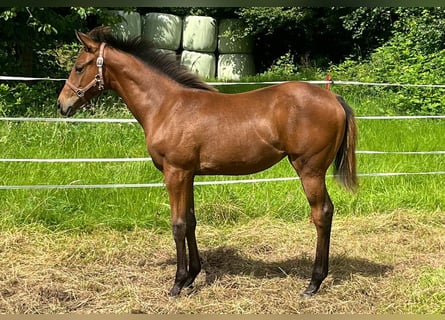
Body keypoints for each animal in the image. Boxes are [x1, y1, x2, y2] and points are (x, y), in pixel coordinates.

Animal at [56, 26, 358, 298]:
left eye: (79, 67)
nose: (62, 105)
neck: (166, 106)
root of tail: (333, 97)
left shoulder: (175, 173)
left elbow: (177, 224)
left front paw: (177, 283)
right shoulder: (188, 174)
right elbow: (190, 221)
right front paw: (192, 276)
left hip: (310, 170)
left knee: (322, 214)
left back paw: (313, 283)